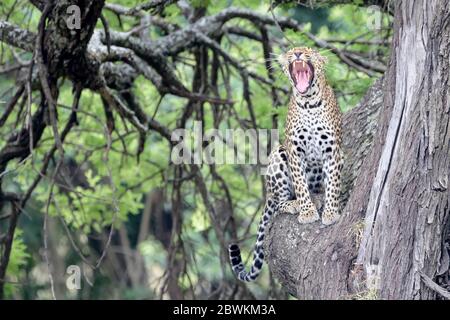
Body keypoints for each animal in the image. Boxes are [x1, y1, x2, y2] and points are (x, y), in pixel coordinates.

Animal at [229, 46, 344, 282]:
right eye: (291, 51)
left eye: (309, 50)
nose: (298, 52)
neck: (309, 104)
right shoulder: (293, 151)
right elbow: (300, 184)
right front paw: (307, 212)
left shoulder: (334, 151)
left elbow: (334, 185)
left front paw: (330, 213)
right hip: (278, 155)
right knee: (279, 202)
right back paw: (294, 204)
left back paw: (318, 198)